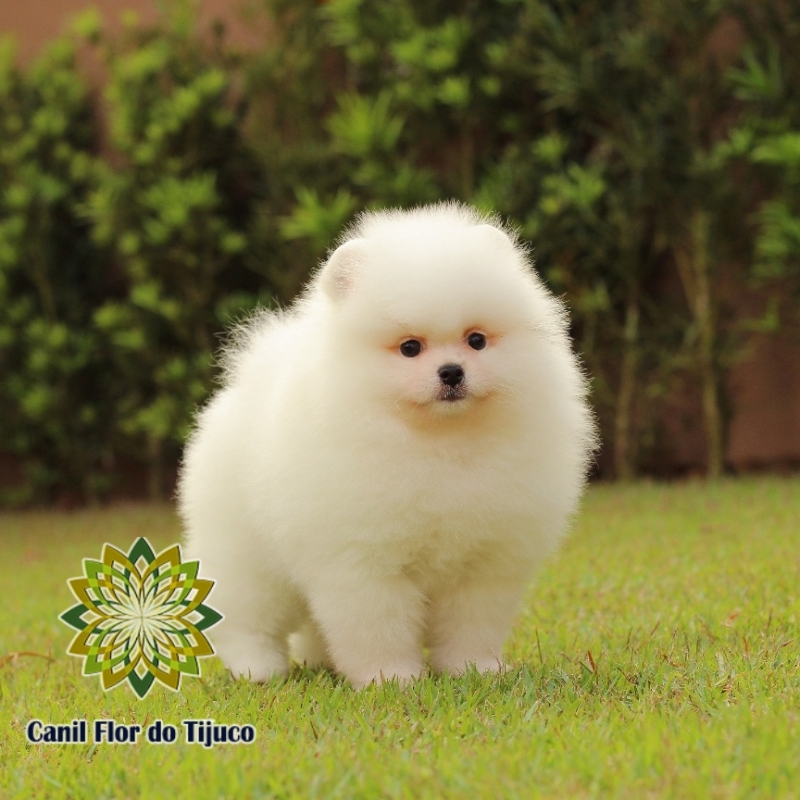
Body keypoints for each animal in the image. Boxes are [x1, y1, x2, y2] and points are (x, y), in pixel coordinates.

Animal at [180, 200, 592, 688]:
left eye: (476, 340)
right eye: (410, 347)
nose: (451, 372)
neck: (441, 444)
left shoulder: (483, 563)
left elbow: (472, 625)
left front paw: (473, 670)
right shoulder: (365, 562)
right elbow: (379, 627)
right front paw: (390, 679)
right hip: (247, 553)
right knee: (246, 614)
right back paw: (257, 667)